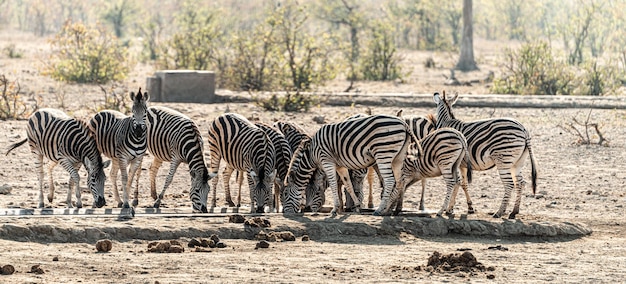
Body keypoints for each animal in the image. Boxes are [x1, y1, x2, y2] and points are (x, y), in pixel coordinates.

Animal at [282, 113, 420, 215]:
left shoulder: (327, 161)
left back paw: (380, 209)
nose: (285, 213)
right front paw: (357, 206)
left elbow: (333, 183)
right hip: (398, 157)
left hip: (383, 153)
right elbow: (348, 184)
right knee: (400, 180)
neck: (311, 154)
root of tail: (403, 123)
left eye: (285, 194)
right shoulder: (340, 165)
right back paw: (387, 209)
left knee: (390, 180)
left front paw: (335, 209)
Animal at [434, 91, 536, 220]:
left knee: (509, 184)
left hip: (503, 159)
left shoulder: (455, 162)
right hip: (518, 162)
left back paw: (499, 212)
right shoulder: (462, 164)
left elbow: (459, 183)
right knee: (520, 183)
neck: (446, 122)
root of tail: (523, 129)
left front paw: (449, 209)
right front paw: (461, 208)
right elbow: (462, 183)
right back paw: (514, 212)